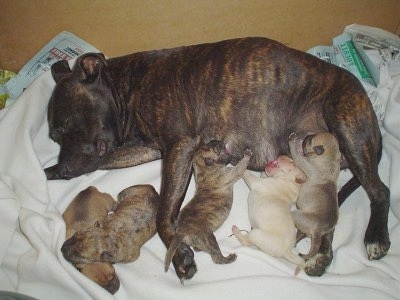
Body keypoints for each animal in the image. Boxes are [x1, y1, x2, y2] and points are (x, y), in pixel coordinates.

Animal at [162, 139, 250, 282]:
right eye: (215, 148)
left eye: (210, 144)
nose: (217, 140)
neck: (204, 169)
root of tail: (181, 231)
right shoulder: (231, 174)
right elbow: (240, 167)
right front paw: (247, 155)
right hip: (209, 238)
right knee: (216, 258)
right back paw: (228, 259)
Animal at [290, 134, 342, 262]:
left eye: (310, 140)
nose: (306, 136)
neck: (330, 159)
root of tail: (318, 232)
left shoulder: (305, 163)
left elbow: (297, 156)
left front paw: (292, 141)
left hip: (297, 215)